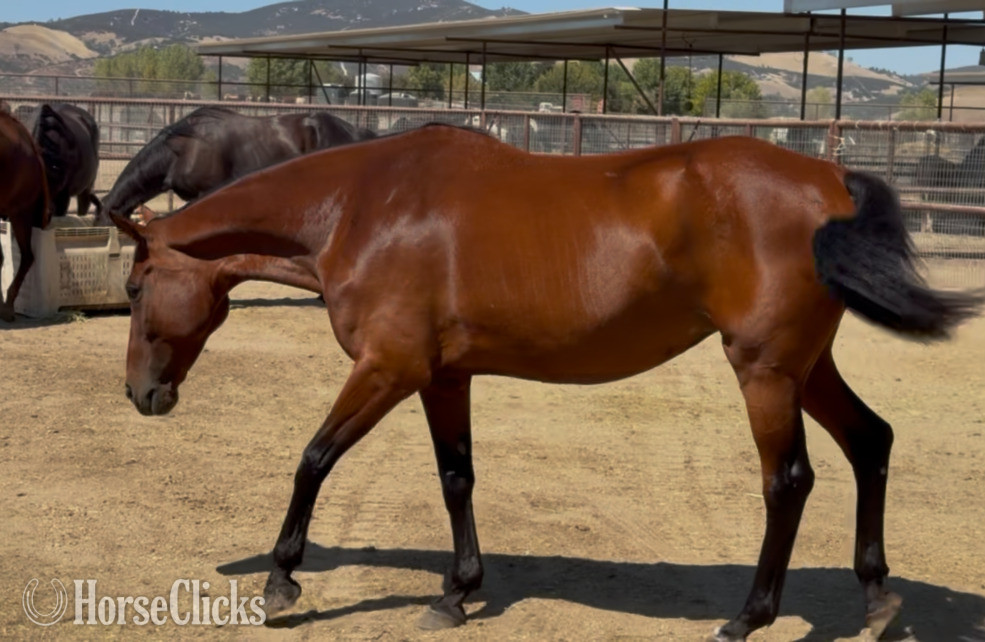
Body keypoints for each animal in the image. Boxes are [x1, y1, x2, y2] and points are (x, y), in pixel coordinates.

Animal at [110, 126, 983, 641]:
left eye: (133, 288)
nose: (140, 396)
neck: (359, 207)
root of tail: (829, 178)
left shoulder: (386, 368)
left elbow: (314, 459)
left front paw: (280, 580)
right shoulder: (441, 376)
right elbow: (455, 478)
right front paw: (455, 593)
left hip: (764, 369)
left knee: (788, 481)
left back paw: (748, 618)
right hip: (806, 366)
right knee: (871, 440)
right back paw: (876, 599)